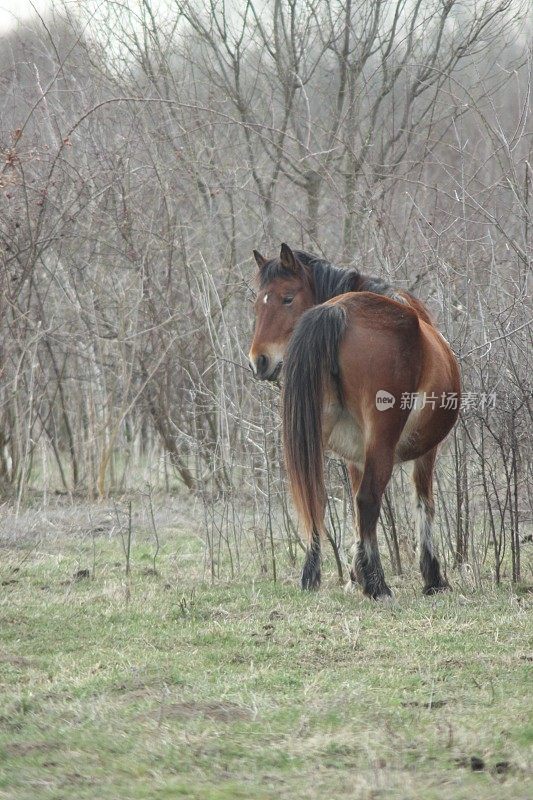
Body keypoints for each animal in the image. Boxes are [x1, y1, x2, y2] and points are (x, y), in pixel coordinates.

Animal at [249, 244, 462, 600]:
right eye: (257, 304)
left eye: (287, 298)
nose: (258, 361)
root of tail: (340, 313)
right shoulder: (425, 451)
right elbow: (423, 504)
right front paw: (431, 577)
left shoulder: (354, 455)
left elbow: (353, 509)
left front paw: (354, 573)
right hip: (384, 439)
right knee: (368, 499)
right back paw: (379, 585)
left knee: (316, 496)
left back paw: (312, 576)